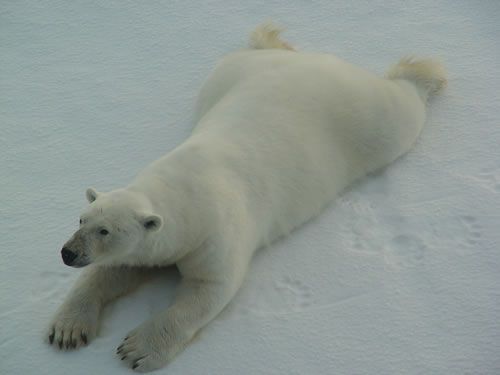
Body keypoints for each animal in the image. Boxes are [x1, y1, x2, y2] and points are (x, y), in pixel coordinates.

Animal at [46, 22, 446, 372]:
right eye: (82, 219)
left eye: (105, 231)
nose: (68, 253)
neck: (182, 190)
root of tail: (315, 60)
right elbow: (114, 270)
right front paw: (68, 330)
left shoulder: (216, 231)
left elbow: (209, 290)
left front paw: (138, 349)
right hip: (231, 75)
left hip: (365, 118)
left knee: (400, 113)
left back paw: (422, 72)